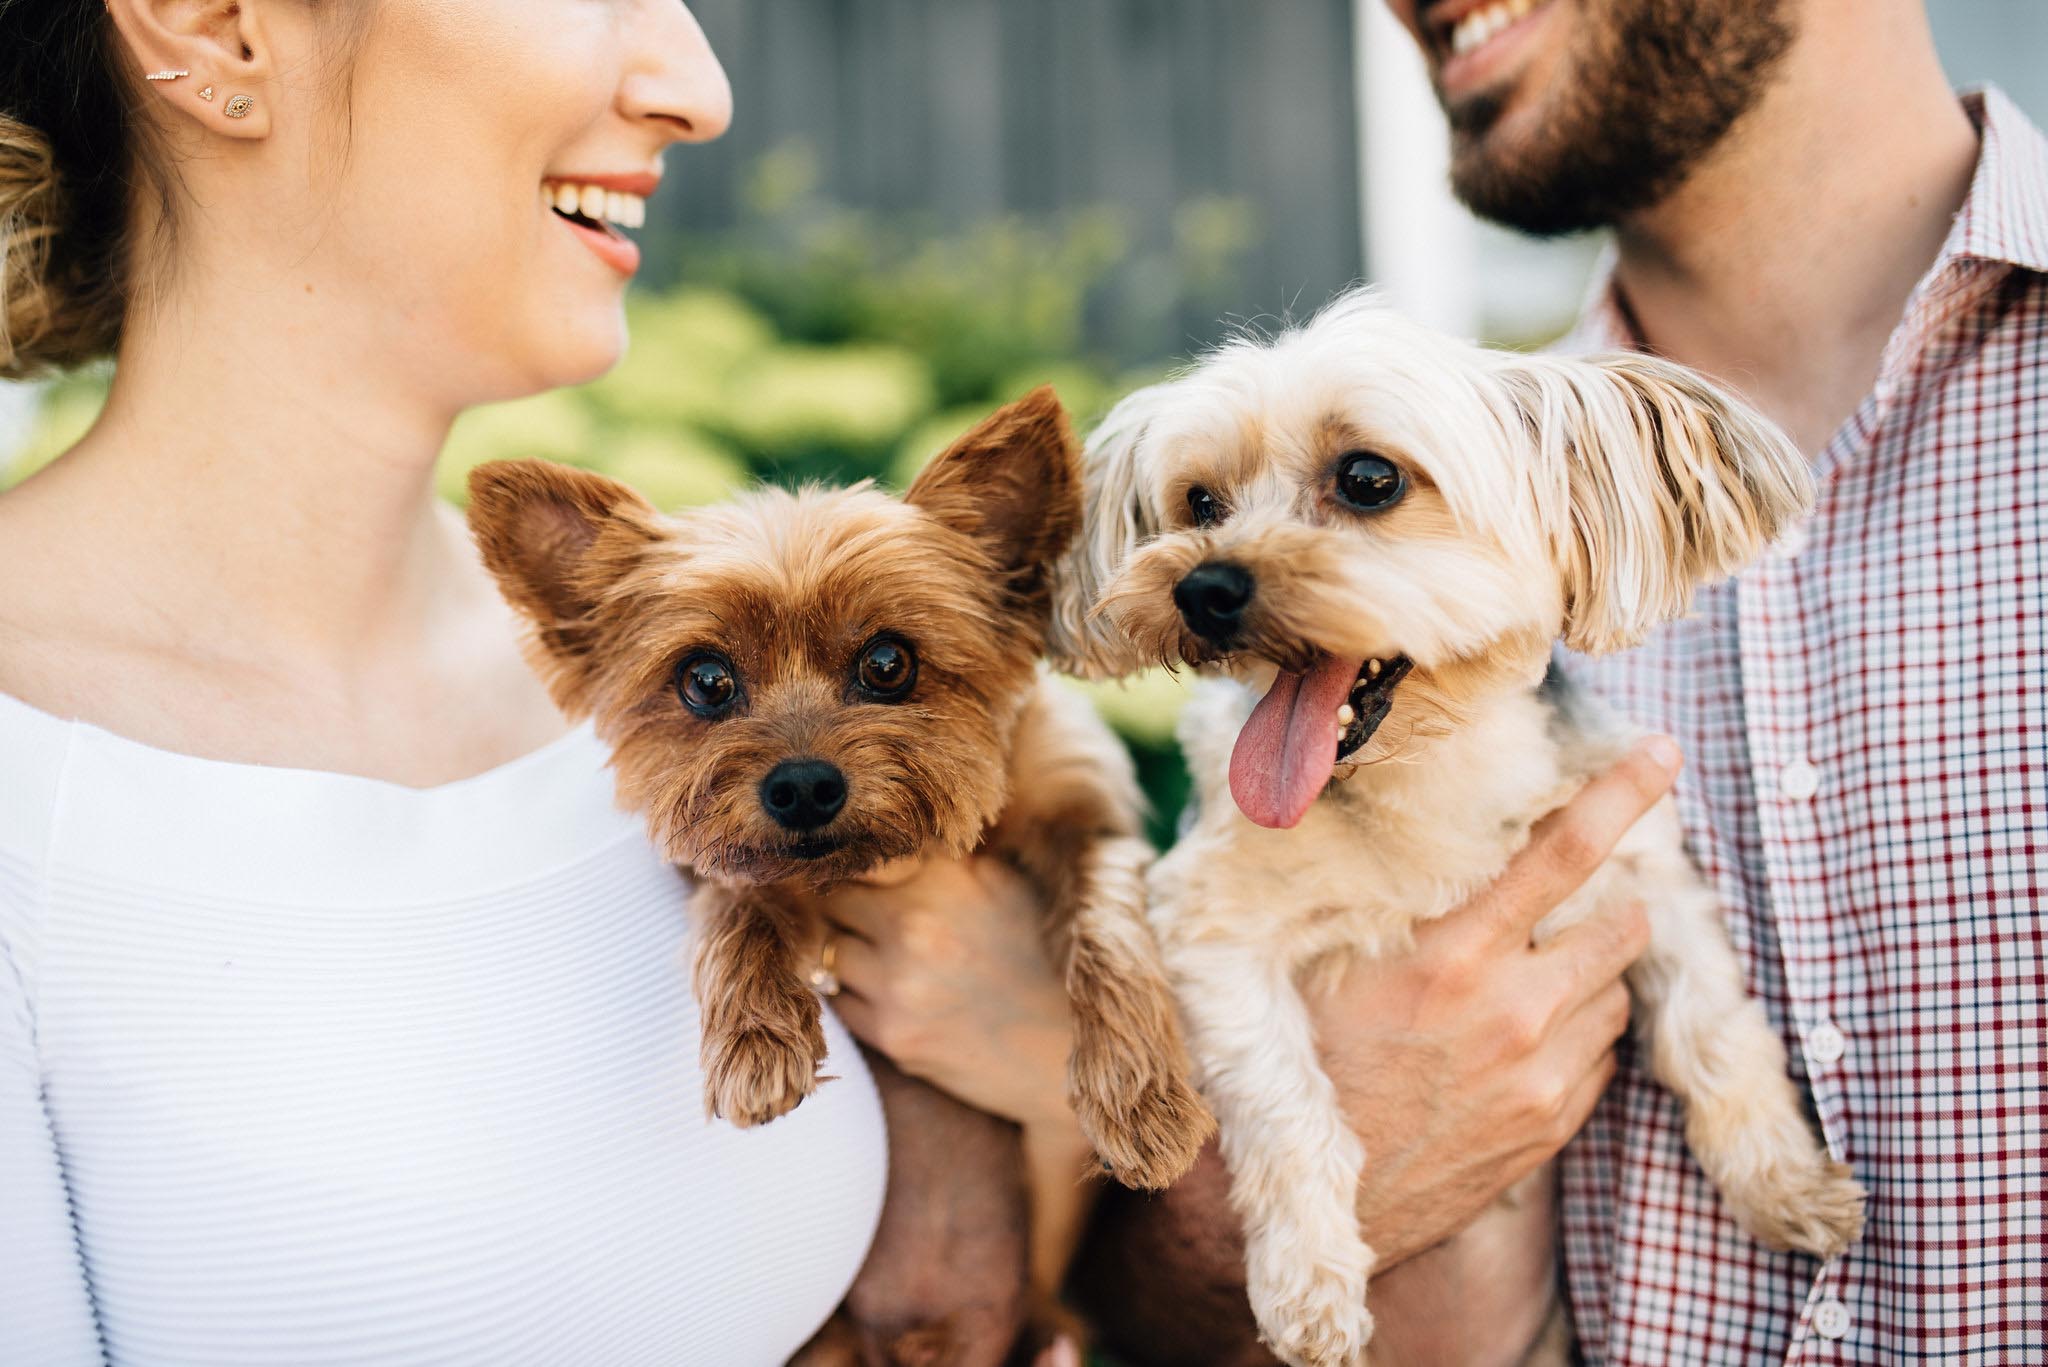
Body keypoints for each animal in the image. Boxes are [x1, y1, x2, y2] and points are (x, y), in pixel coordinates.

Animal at [1056, 295, 1875, 1367]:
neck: (1427, 777)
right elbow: (1285, 1103)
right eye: (1198, 502)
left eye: (1369, 478)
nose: (1203, 590)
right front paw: (1308, 1285)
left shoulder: (1650, 876)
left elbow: (1717, 1033)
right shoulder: (1211, 925)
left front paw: (1789, 1185)